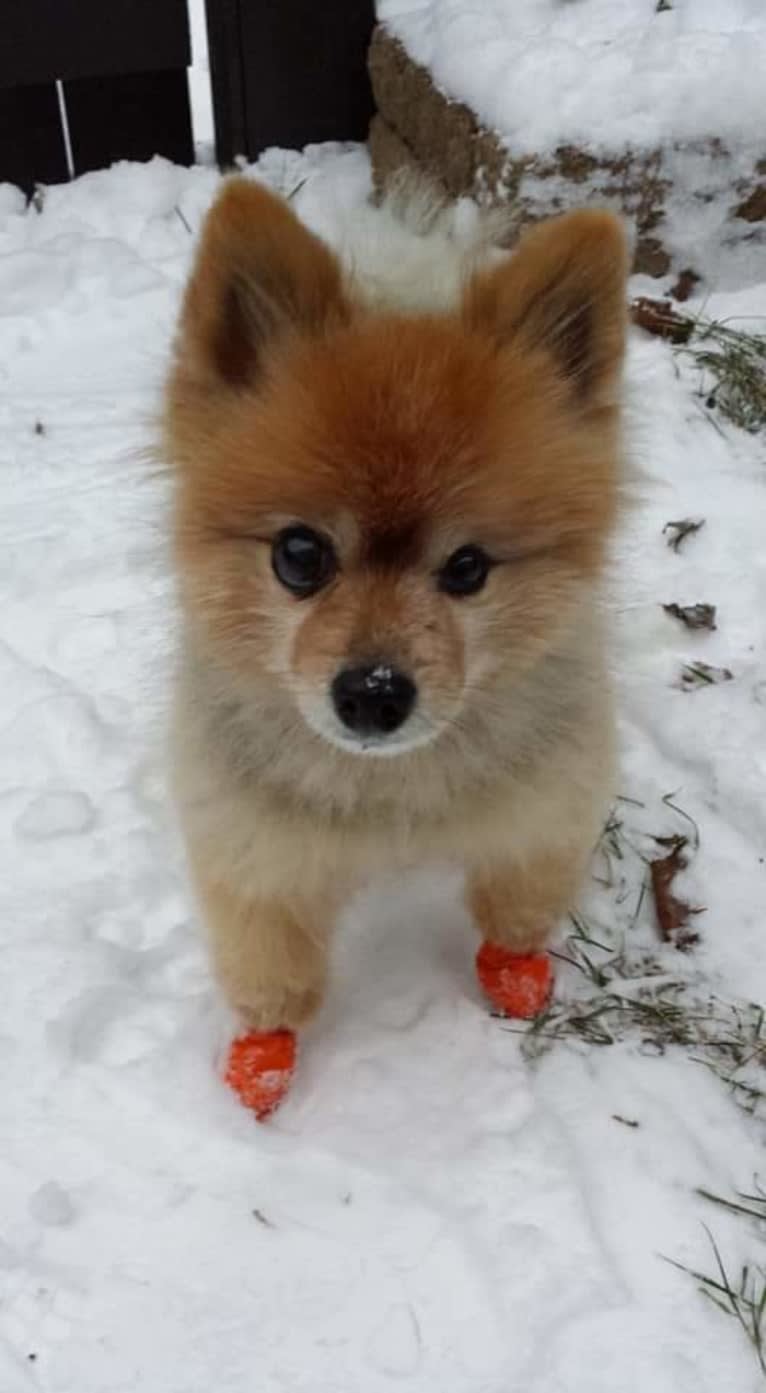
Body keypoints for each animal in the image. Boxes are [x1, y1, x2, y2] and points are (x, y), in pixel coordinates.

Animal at [165, 182, 626, 1119]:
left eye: (468, 567)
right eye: (299, 555)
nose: (374, 692)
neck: (393, 795)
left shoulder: (542, 816)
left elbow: (517, 912)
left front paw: (516, 982)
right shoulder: (257, 860)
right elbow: (273, 977)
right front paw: (261, 1068)